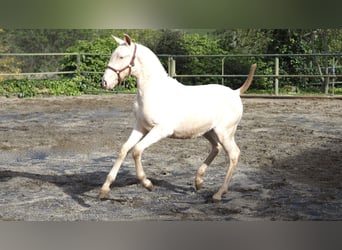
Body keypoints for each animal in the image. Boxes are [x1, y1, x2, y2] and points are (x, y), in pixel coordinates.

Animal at [99, 34, 256, 202]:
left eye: (121, 56)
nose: (105, 83)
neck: (153, 91)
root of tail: (235, 92)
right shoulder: (140, 127)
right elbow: (124, 149)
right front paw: (104, 189)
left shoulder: (161, 130)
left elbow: (136, 150)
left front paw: (147, 184)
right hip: (209, 132)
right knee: (216, 148)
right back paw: (198, 181)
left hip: (224, 133)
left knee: (233, 154)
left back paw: (219, 194)